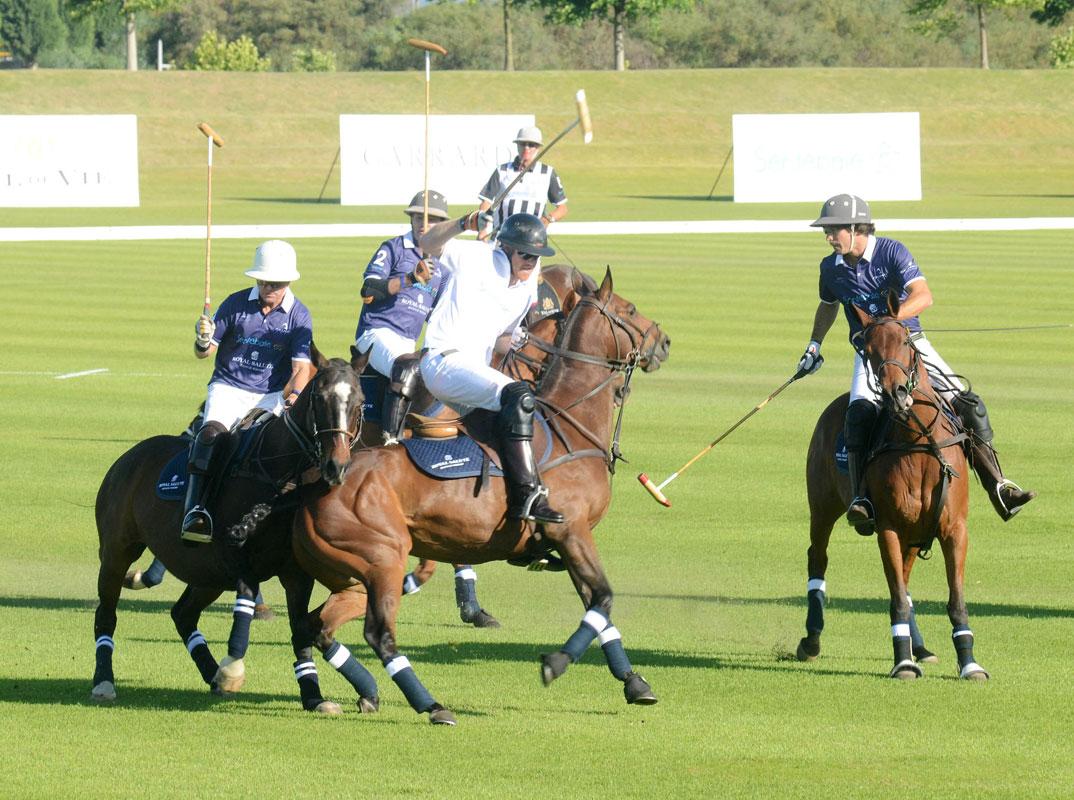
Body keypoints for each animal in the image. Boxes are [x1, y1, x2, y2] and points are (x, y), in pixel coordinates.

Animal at [90, 345, 373, 708]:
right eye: (320, 398)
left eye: (359, 401)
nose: (336, 466)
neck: (281, 474)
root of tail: (129, 456)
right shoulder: (236, 558)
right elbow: (247, 600)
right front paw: (233, 668)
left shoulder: (295, 571)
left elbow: (299, 627)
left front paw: (313, 695)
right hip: (117, 551)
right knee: (106, 613)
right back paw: (104, 681)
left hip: (206, 572)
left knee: (183, 613)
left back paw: (212, 674)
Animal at [289, 268, 665, 725]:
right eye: (630, 309)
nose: (664, 341)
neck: (569, 425)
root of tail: (318, 489)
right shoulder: (572, 531)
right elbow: (605, 598)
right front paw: (555, 663)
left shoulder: (569, 539)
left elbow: (597, 605)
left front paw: (634, 682)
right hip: (383, 559)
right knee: (378, 634)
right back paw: (431, 705)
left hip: (356, 577)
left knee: (317, 625)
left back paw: (368, 691)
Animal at [799, 300, 988, 678]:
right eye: (868, 351)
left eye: (905, 341)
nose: (895, 394)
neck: (919, 443)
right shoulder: (888, 526)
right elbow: (897, 598)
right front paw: (902, 662)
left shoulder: (954, 529)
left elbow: (955, 599)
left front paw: (970, 663)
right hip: (823, 506)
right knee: (818, 557)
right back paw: (811, 639)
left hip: (914, 534)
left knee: (905, 576)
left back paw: (920, 646)